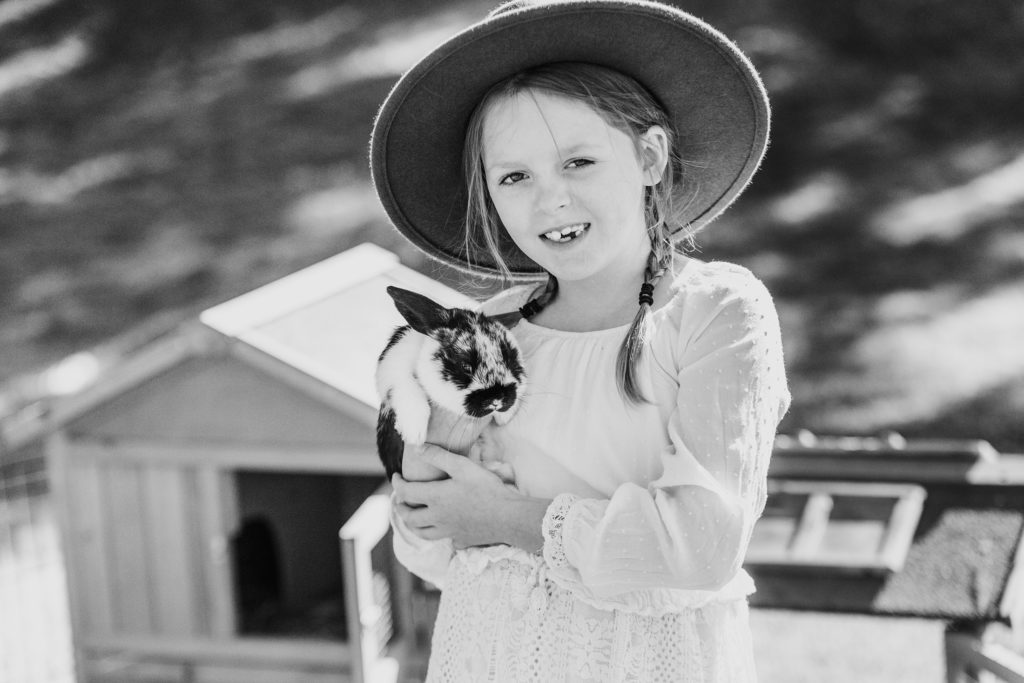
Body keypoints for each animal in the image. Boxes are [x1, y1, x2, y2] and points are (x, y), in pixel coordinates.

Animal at [374, 286, 524, 481]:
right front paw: (414, 431)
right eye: (465, 365)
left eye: (510, 361)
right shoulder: (392, 367)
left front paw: (505, 416)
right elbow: (407, 388)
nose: (497, 400)